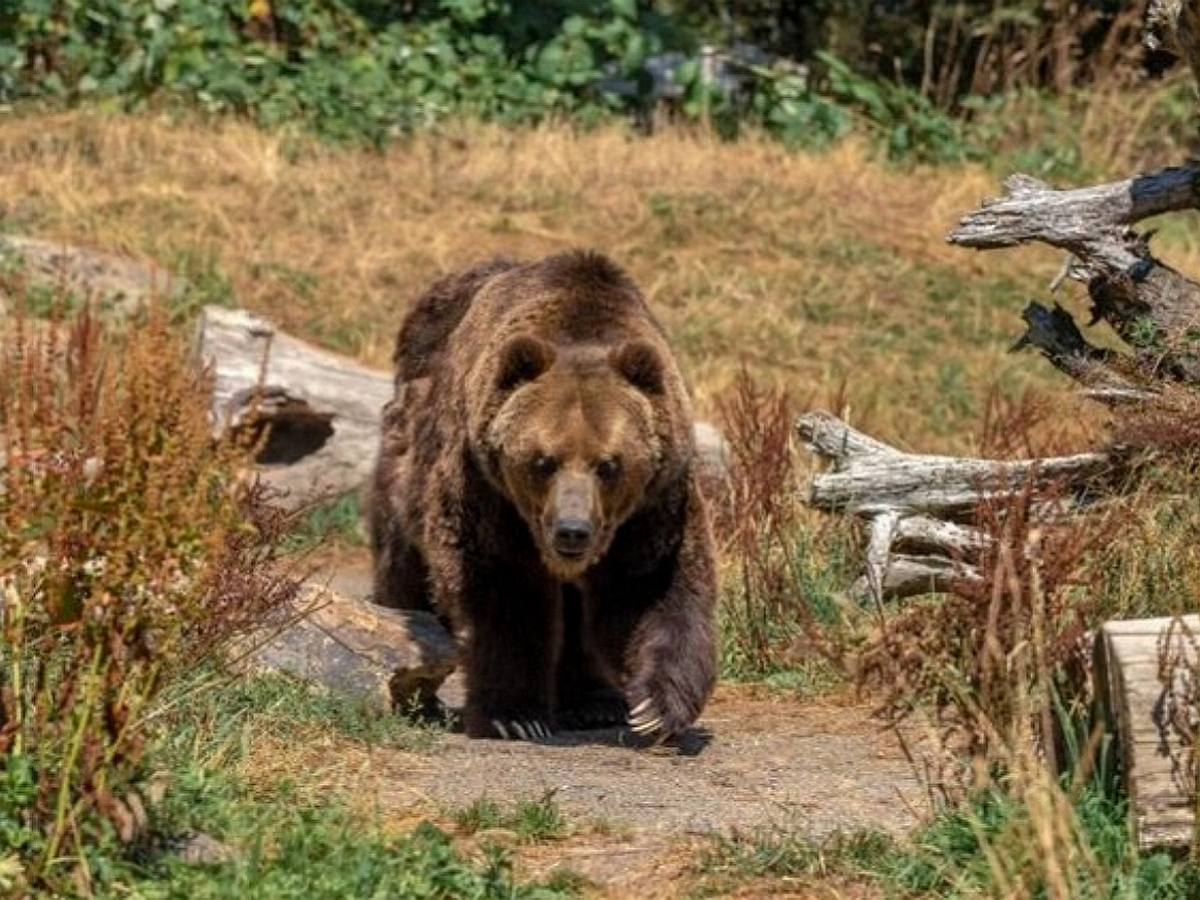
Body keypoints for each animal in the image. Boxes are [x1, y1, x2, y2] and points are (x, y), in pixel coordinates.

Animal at [369, 250, 715, 744]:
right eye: (543, 460)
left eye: (609, 464)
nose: (572, 531)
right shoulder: (488, 493)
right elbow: (505, 592)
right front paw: (514, 715)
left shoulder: (652, 509)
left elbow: (652, 588)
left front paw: (655, 706)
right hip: (408, 460)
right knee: (405, 568)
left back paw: (593, 704)